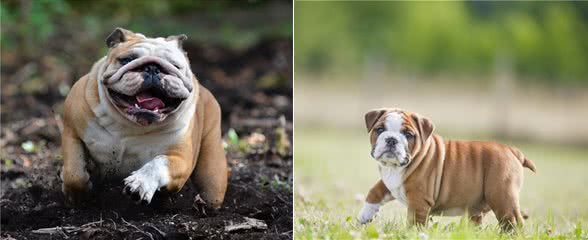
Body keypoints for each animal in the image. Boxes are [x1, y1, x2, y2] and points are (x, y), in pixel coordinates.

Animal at [61, 27, 227, 208]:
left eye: (175, 66)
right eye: (127, 60)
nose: (153, 68)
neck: (128, 124)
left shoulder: (180, 158)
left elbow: (158, 163)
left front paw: (141, 183)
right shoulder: (72, 132)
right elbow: (74, 172)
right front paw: (78, 195)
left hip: (212, 174)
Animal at [356, 108, 536, 231]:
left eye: (408, 134)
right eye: (379, 129)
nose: (392, 139)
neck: (394, 168)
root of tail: (512, 150)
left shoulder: (419, 201)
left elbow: (415, 222)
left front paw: (411, 234)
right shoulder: (390, 183)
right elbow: (375, 190)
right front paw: (365, 214)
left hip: (502, 196)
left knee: (514, 222)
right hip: (480, 207)